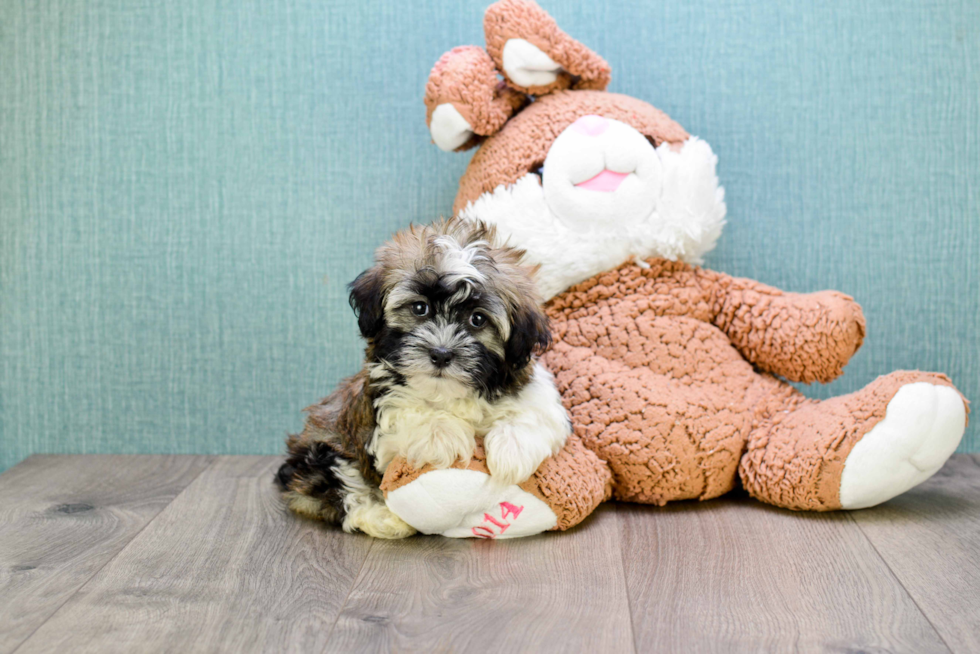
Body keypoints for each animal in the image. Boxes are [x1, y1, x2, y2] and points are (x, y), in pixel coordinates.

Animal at [272, 218, 572, 540]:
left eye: (478, 319)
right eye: (419, 308)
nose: (441, 354)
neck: (447, 392)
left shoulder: (535, 392)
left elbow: (534, 414)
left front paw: (511, 451)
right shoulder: (378, 420)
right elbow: (412, 416)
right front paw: (444, 434)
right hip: (325, 449)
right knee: (343, 490)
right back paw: (385, 518)